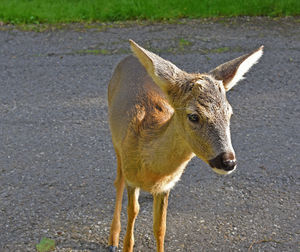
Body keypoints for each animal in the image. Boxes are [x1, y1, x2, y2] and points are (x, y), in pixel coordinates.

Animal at [107, 39, 262, 252]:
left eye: (229, 113)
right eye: (193, 116)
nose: (228, 161)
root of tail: (129, 58)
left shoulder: (166, 186)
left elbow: (160, 227)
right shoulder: (131, 176)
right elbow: (132, 220)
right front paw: (122, 242)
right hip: (116, 142)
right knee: (118, 182)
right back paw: (112, 240)